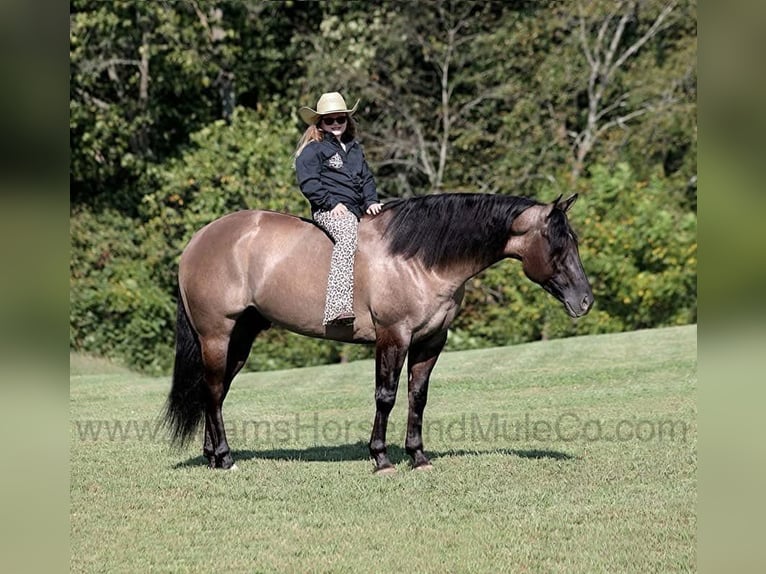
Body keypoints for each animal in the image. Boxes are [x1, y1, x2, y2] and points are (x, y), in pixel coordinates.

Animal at [164, 193, 593, 473]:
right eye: (558, 245)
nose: (585, 301)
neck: (418, 258)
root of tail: (196, 243)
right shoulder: (393, 337)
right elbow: (385, 396)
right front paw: (381, 458)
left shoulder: (430, 342)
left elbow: (417, 398)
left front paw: (418, 457)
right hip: (217, 336)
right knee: (213, 392)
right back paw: (225, 459)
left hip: (240, 338)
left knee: (214, 393)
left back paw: (213, 456)